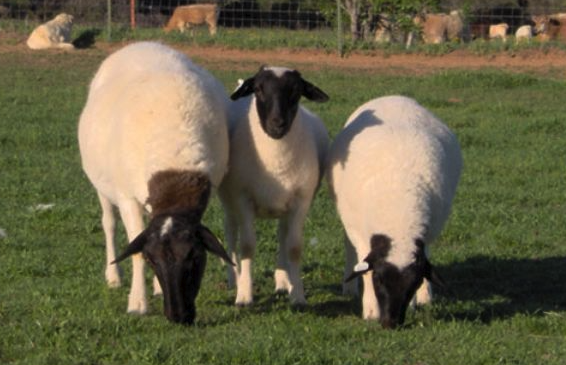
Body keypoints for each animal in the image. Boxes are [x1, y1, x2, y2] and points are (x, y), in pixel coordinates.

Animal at [77, 42, 233, 324]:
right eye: (152, 260)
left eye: (195, 257)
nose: (178, 316)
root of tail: (141, 44)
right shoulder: (127, 198)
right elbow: (135, 248)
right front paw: (137, 303)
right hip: (103, 185)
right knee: (108, 224)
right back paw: (114, 277)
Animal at [220, 64, 330, 304]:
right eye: (258, 89)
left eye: (296, 91)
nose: (277, 123)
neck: (276, 162)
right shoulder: (242, 198)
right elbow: (247, 245)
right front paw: (244, 295)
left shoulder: (301, 201)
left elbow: (294, 247)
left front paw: (297, 295)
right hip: (228, 200)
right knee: (231, 233)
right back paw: (234, 279)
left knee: (282, 236)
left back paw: (282, 282)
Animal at [326, 94, 464, 328]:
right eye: (379, 278)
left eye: (413, 282)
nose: (391, 323)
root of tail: (393, 97)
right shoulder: (361, 235)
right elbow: (364, 270)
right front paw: (371, 311)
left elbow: (425, 260)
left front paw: (417, 300)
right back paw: (349, 289)